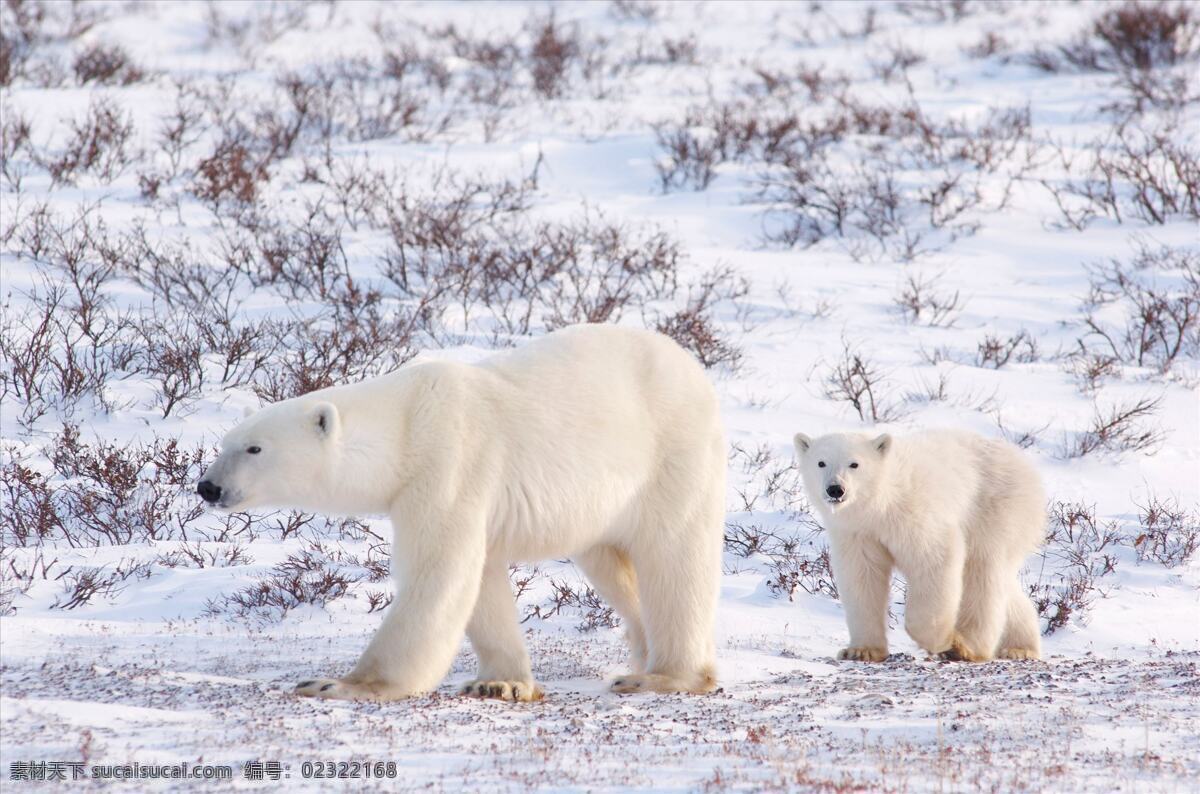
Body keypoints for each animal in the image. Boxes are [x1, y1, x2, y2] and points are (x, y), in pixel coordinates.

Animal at [196, 323, 720, 705]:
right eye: (225, 443)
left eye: (254, 448)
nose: (207, 486)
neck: (406, 424)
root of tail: (689, 364)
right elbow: (480, 583)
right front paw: (500, 682)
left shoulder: (449, 464)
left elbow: (438, 574)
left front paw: (338, 683)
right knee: (612, 566)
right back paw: (641, 658)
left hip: (671, 455)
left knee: (673, 559)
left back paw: (663, 676)